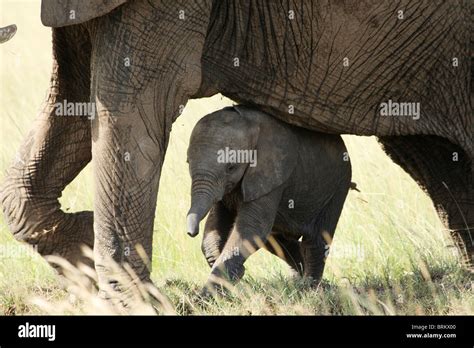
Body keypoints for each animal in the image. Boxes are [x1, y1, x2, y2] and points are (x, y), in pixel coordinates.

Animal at [186, 105, 352, 294]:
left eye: (231, 167)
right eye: (187, 162)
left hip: (338, 185)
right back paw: (297, 281)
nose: (191, 233)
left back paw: (310, 289)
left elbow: (252, 228)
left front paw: (208, 295)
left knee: (315, 240)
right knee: (278, 241)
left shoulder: (272, 176)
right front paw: (231, 273)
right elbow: (218, 223)